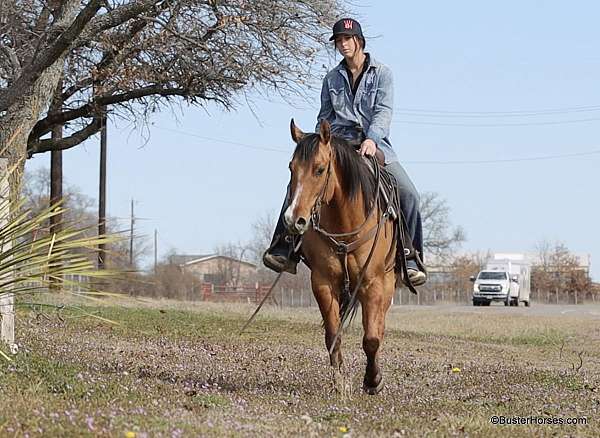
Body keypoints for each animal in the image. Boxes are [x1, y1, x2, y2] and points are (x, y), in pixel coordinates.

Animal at [282, 118, 412, 396]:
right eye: (291, 167)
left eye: (320, 169)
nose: (293, 220)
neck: (346, 224)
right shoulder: (323, 282)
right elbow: (333, 335)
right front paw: (340, 382)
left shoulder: (372, 284)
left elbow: (371, 339)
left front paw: (373, 381)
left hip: (386, 285)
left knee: (378, 328)